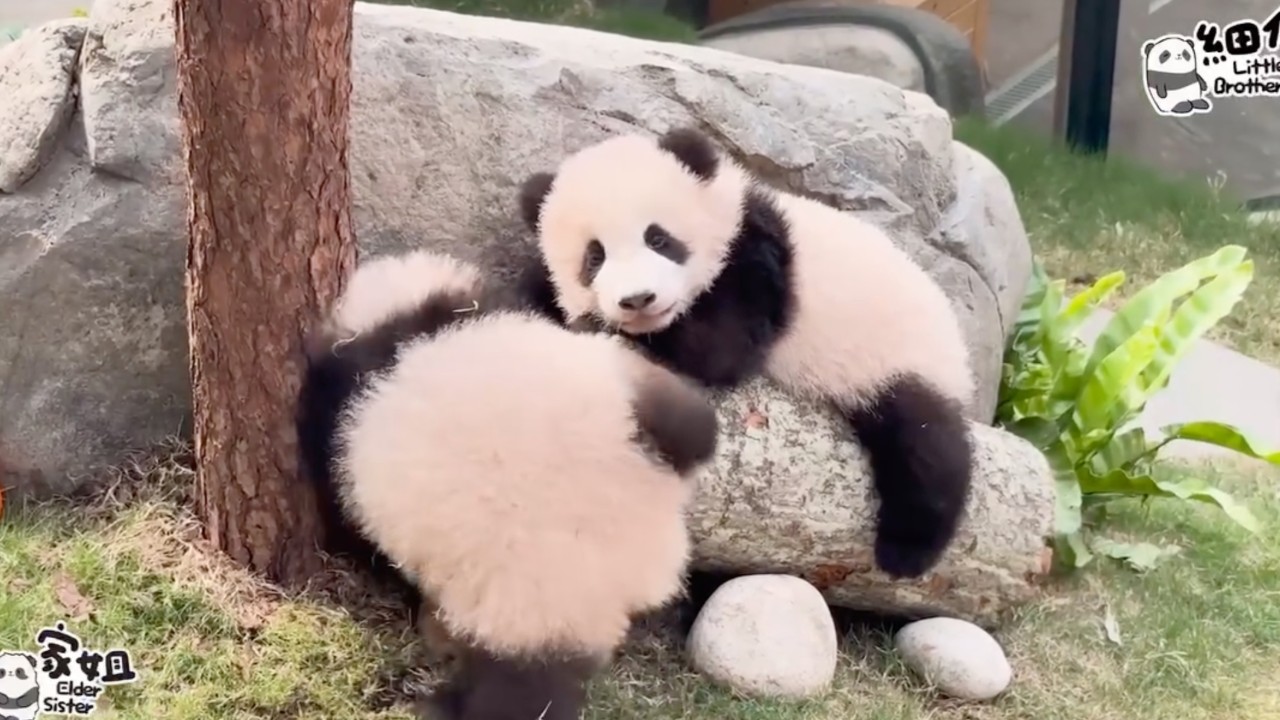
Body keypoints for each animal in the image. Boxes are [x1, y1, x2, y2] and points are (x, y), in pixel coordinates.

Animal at [516, 127, 975, 580]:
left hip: (898, 357)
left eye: (659, 238)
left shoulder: (753, 258)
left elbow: (720, 348)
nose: (638, 299)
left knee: (925, 443)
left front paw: (594, 324)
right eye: (594, 257)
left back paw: (907, 550)